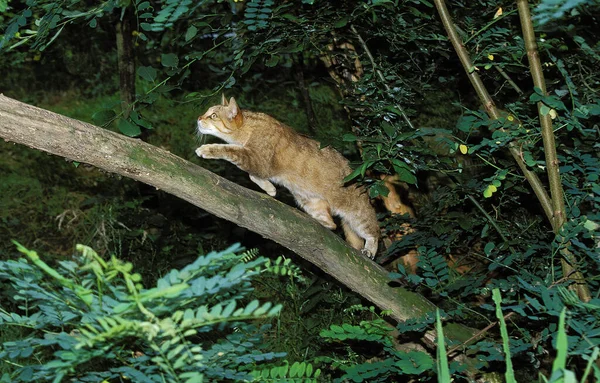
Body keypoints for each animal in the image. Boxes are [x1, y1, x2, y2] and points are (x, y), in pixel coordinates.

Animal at [197, 95, 380, 258]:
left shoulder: (258, 161)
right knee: (332, 224)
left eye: (213, 115)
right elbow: (252, 176)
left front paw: (207, 149)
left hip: (357, 213)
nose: (198, 118)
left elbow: (229, 151)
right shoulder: (257, 163)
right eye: (206, 112)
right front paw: (270, 189)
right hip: (308, 200)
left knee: (373, 230)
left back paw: (370, 248)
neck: (247, 129)